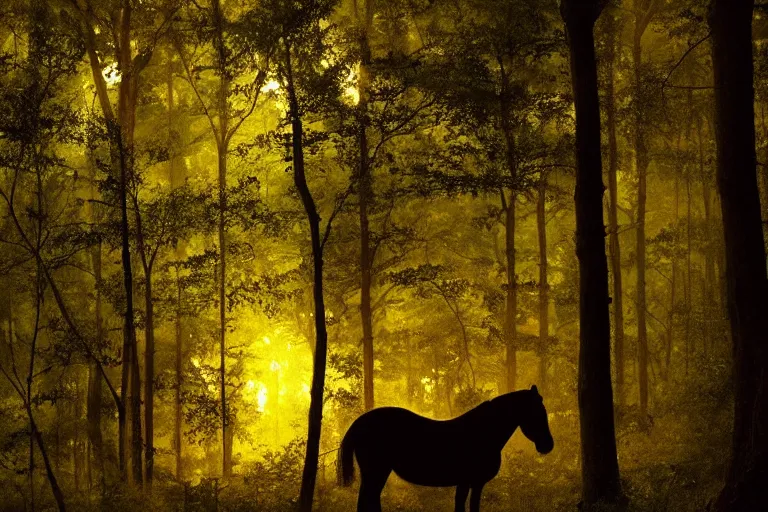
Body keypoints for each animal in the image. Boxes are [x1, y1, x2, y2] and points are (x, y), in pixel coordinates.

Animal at [338, 386, 552, 510]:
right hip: (376, 473)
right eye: (537, 413)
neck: (483, 432)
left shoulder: (472, 483)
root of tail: (361, 422)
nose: (548, 445)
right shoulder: (470, 481)